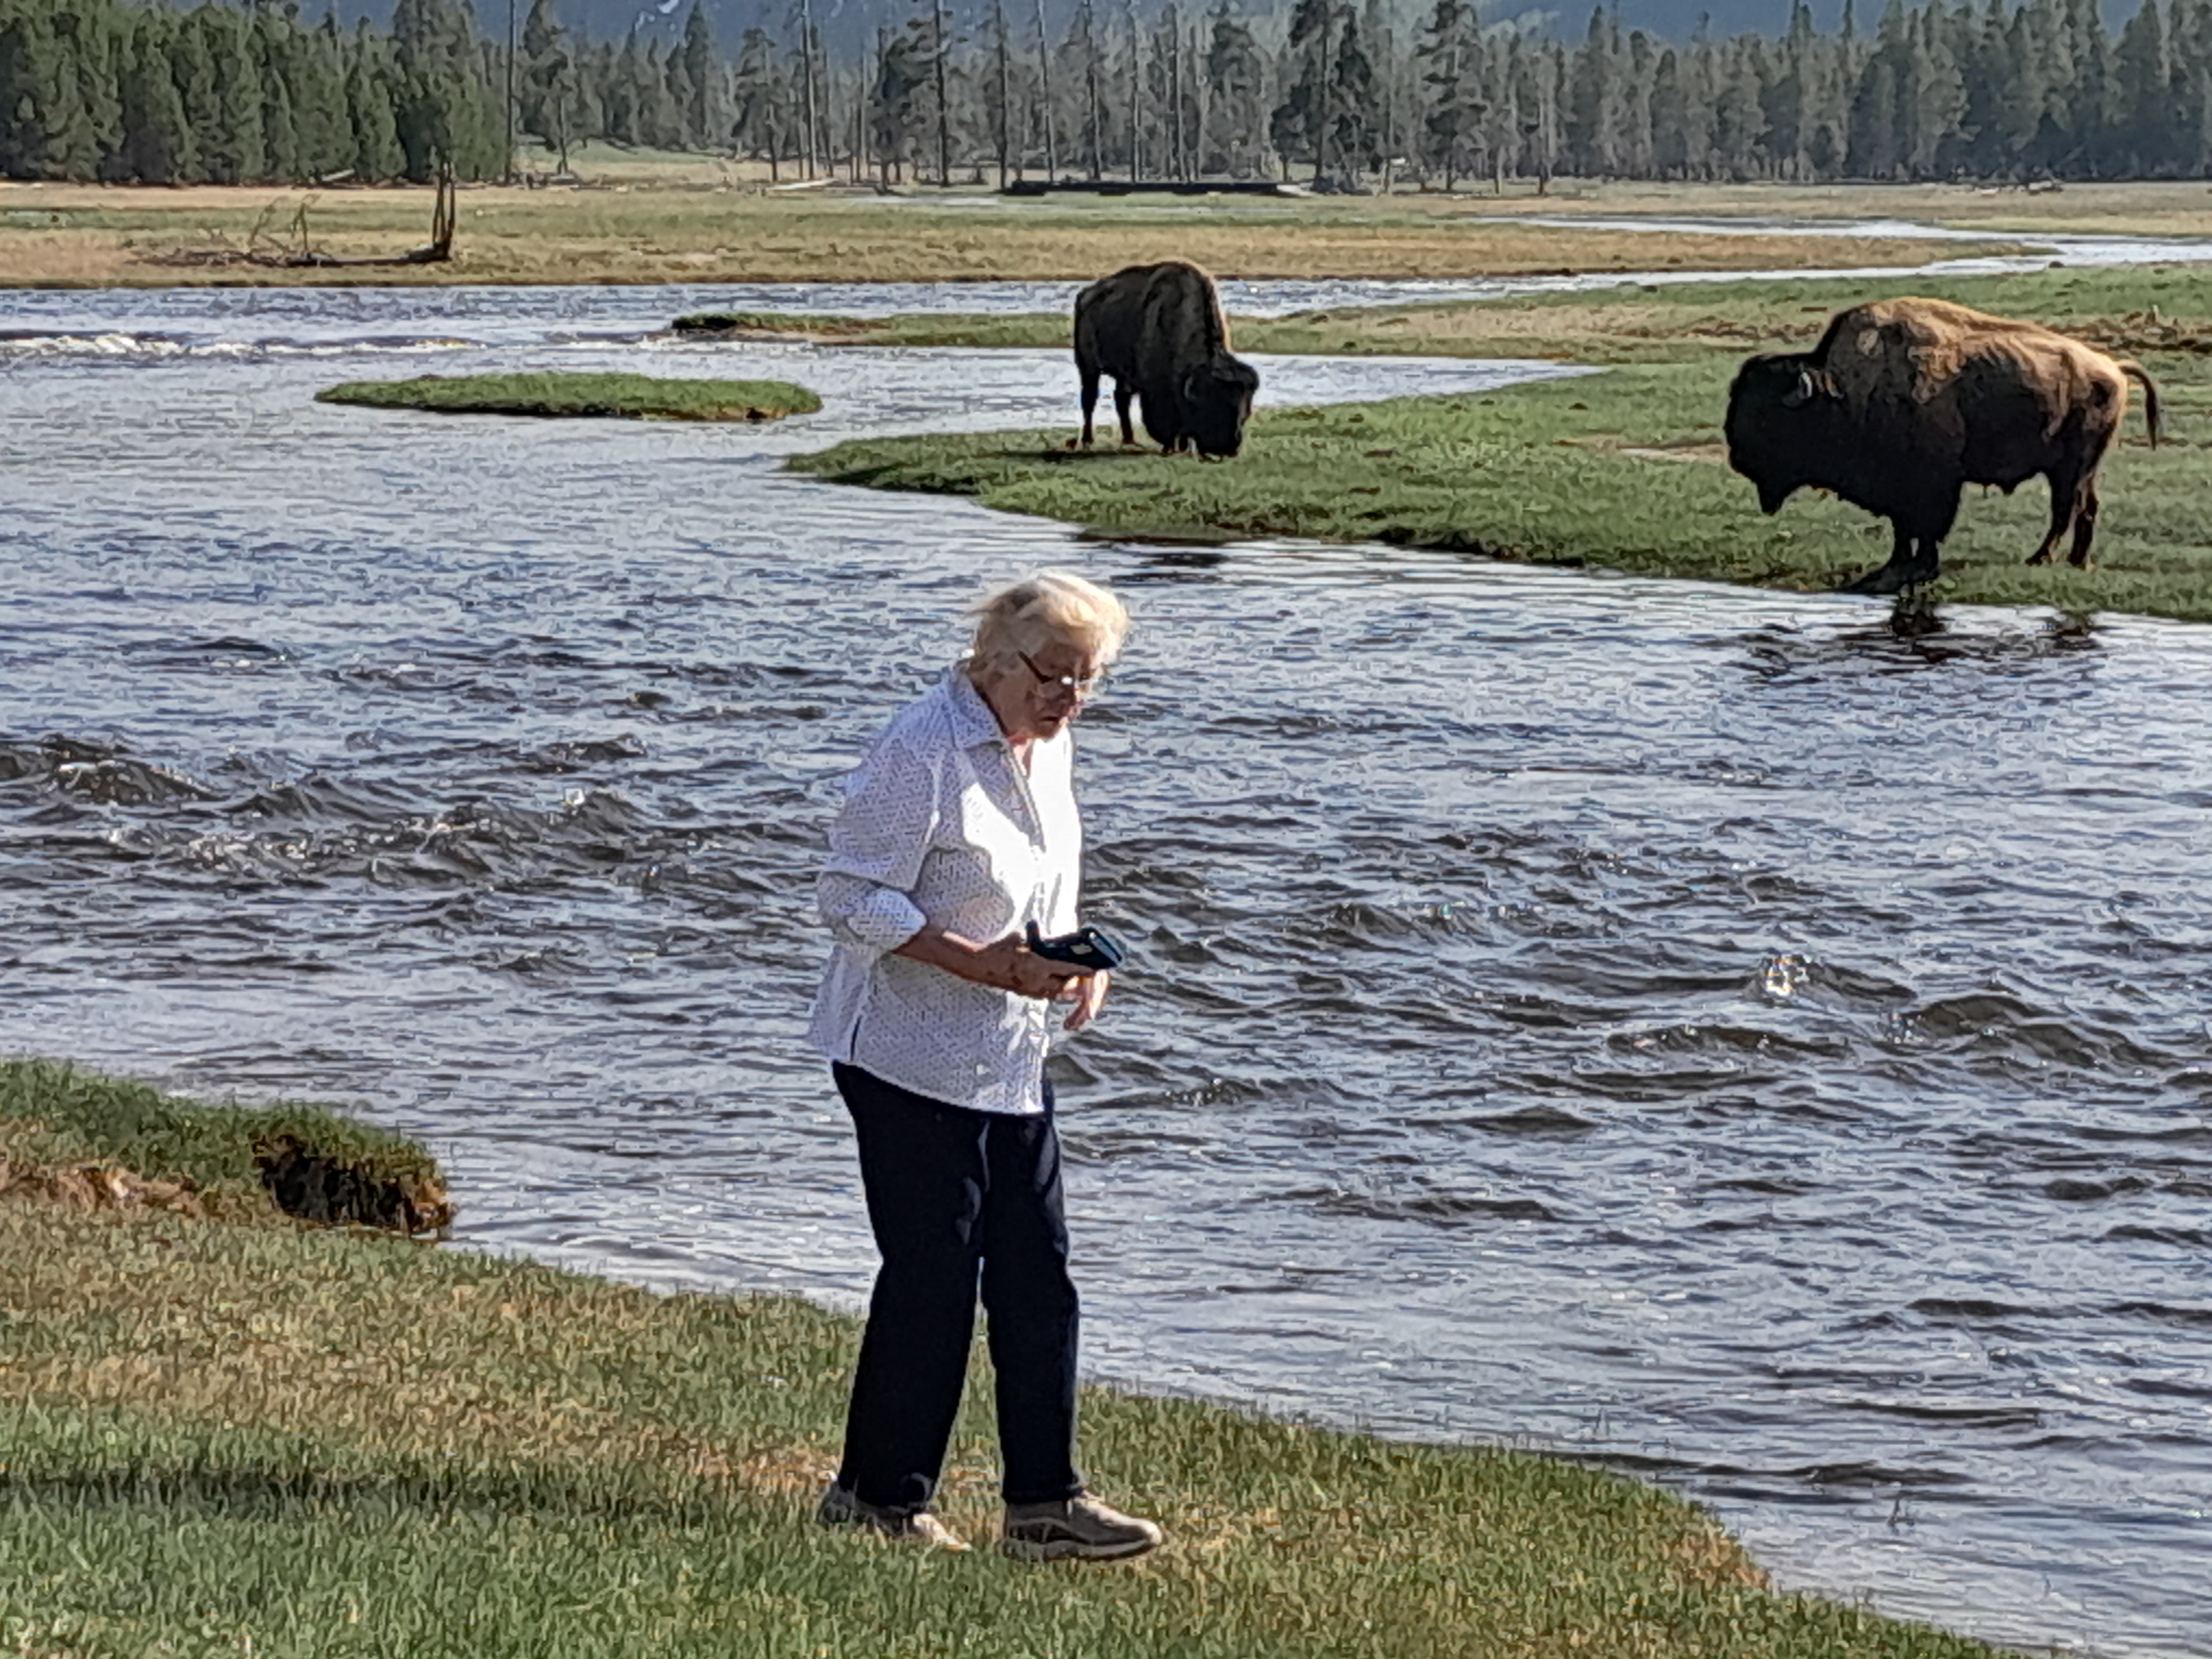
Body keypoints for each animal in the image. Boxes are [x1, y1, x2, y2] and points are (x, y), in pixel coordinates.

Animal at [1075, 264, 1265, 462]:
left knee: (1121, 399)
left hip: (1122, 376)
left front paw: (1183, 447)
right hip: (1088, 367)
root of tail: (1086, 296)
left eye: (1245, 412)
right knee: (1089, 399)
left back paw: (1130, 440)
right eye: (1214, 406)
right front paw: (1170, 447)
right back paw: (1088, 441)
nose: (1230, 448)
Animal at [1725, 298, 2159, 597]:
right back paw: (2076, 562)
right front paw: (1891, 569)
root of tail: (2113, 368)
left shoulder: (1933, 486)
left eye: (1766, 417)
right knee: (2084, 508)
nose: (1736, 455)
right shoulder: (1898, 491)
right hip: (2081, 470)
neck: (1847, 390)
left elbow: (1927, 529)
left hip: (2071, 468)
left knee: (2066, 510)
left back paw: (2042, 559)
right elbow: (1903, 530)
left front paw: (1918, 570)